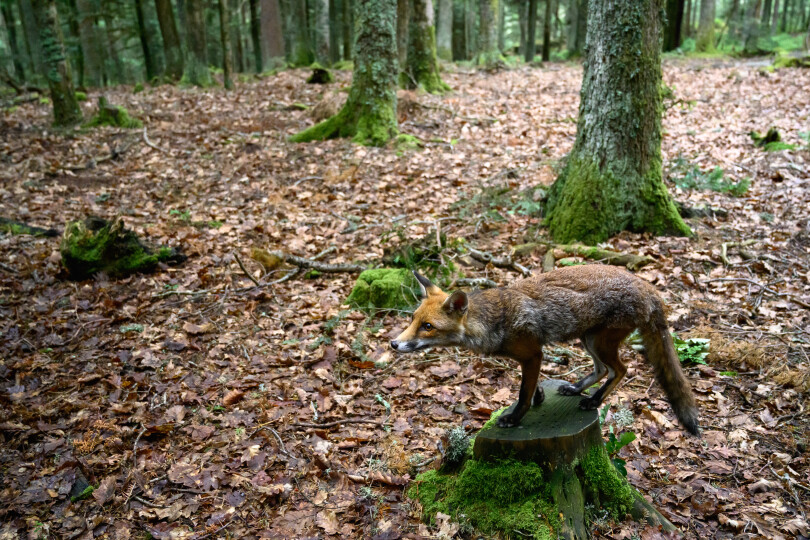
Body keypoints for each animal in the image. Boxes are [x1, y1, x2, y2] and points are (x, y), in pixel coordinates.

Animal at [391, 265, 700, 435]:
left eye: (428, 327)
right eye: (413, 319)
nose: (393, 343)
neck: (495, 320)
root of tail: (648, 287)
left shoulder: (532, 354)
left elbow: (523, 394)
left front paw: (515, 418)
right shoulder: (532, 358)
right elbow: (533, 386)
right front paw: (540, 395)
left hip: (599, 342)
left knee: (622, 370)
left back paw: (594, 400)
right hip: (588, 339)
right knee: (603, 370)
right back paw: (576, 389)